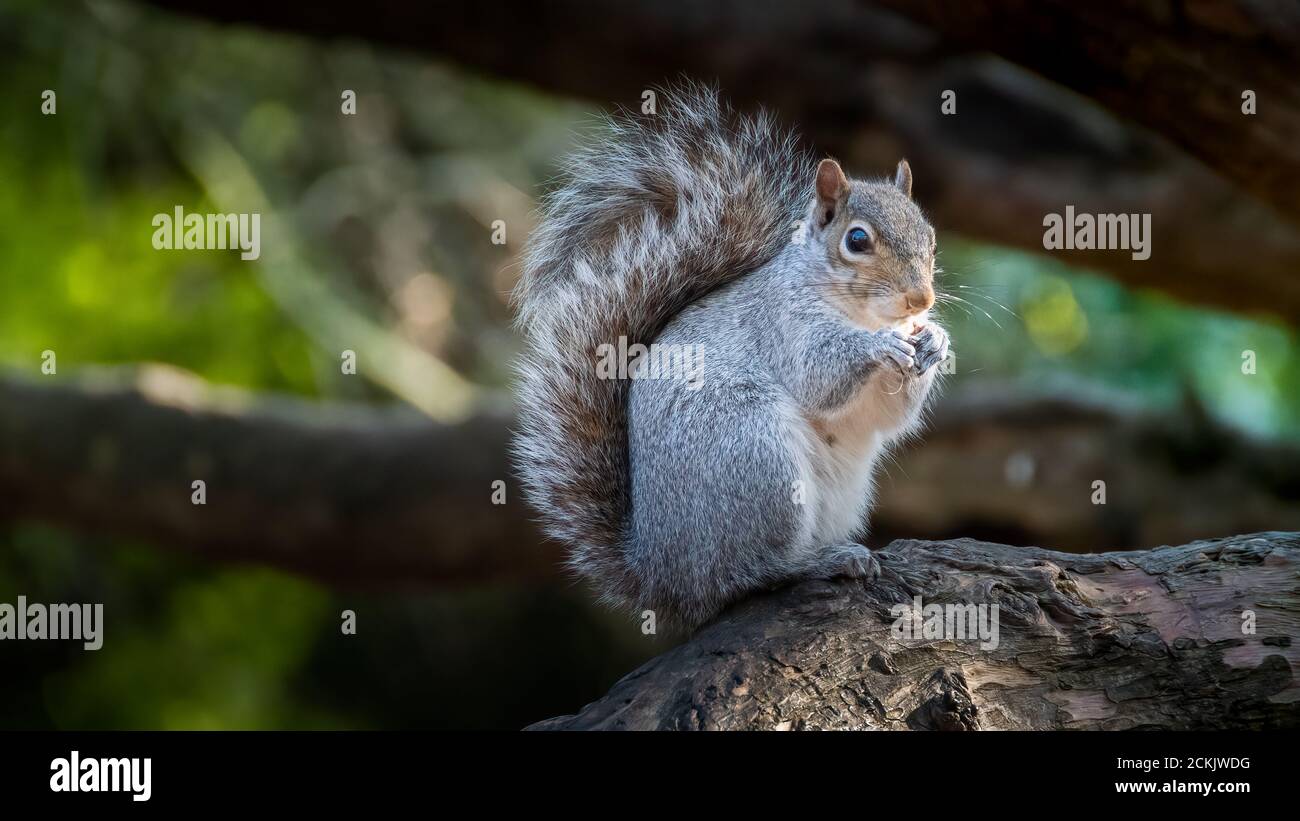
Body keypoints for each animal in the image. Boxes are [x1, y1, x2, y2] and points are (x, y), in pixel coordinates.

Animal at [513, 85, 948, 631]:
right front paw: (881, 346)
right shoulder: (782, 323)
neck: (860, 313)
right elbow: (819, 375)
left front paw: (935, 341)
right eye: (857, 240)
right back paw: (818, 562)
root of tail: (662, 574)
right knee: (747, 573)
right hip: (755, 453)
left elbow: (889, 415)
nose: (920, 299)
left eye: (931, 239)